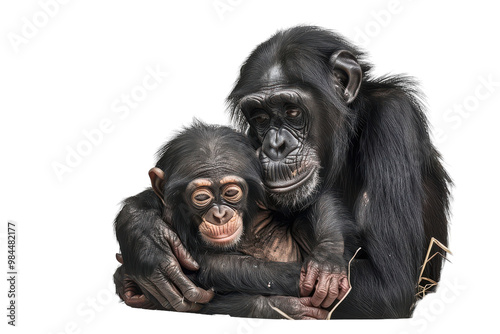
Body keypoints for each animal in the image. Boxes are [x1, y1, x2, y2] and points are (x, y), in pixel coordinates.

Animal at [114, 122, 352, 318]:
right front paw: (147, 242)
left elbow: (312, 197)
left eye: (231, 193)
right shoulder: (170, 214)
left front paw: (326, 263)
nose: (220, 214)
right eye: (201, 197)